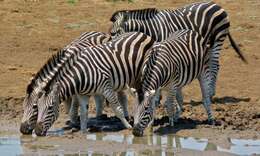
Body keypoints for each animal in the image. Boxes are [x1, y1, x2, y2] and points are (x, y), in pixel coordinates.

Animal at [108, 1, 247, 116]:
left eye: (113, 33)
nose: (111, 47)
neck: (153, 29)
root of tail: (216, 5)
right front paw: (157, 99)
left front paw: (160, 100)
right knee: (216, 65)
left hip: (218, 38)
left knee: (214, 65)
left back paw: (211, 91)